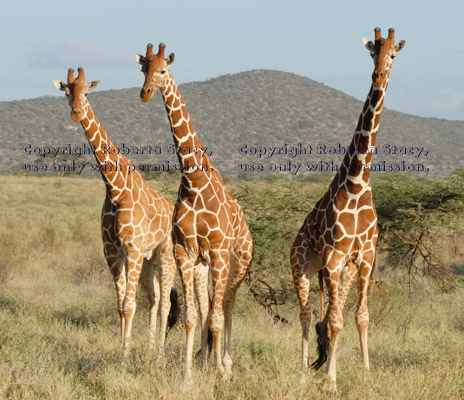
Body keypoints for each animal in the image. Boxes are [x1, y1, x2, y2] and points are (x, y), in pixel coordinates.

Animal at [53, 68, 179, 356]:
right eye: (67, 93)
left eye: (87, 92)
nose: (76, 113)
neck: (115, 188)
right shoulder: (112, 252)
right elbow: (121, 306)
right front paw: (123, 346)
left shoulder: (131, 249)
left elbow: (130, 305)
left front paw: (125, 354)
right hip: (148, 259)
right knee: (155, 296)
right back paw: (151, 346)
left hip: (166, 254)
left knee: (166, 301)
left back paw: (160, 352)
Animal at [135, 43, 254, 378]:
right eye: (143, 68)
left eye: (163, 70)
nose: (145, 93)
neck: (194, 180)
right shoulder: (184, 253)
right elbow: (191, 316)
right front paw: (190, 374)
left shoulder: (218, 253)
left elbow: (216, 317)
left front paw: (221, 373)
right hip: (203, 266)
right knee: (206, 307)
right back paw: (205, 361)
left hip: (237, 263)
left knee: (226, 306)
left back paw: (226, 363)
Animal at [292, 28, 404, 394]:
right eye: (372, 53)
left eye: (393, 54)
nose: (378, 75)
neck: (356, 184)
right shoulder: (333, 256)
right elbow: (335, 321)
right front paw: (330, 381)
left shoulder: (365, 258)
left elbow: (360, 316)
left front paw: (366, 373)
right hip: (302, 266)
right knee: (307, 314)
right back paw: (303, 370)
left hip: (343, 272)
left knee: (329, 314)